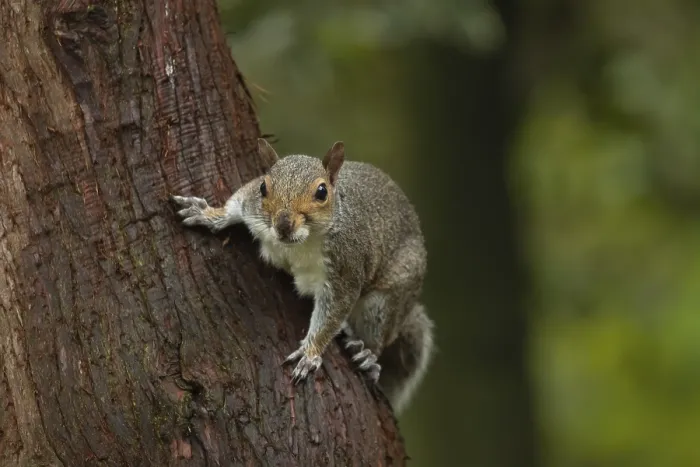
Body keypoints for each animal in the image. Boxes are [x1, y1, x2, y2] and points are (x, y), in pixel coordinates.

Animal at [171, 139, 434, 414]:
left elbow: (331, 314)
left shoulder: (345, 268)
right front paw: (209, 214)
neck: (299, 243)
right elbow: (237, 202)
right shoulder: (251, 204)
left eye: (322, 192)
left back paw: (367, 355)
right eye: (263, 187)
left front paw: (310, 352)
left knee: (379, 335)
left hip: (385, 302)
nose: (283, 224)